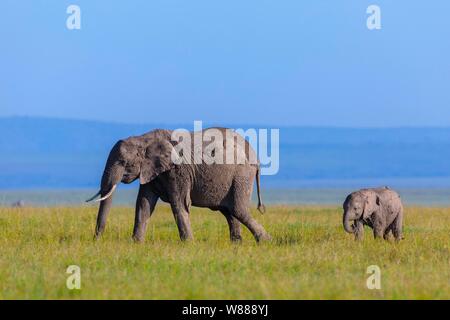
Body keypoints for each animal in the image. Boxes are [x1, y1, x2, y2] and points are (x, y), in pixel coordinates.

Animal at [85, 127, 268, 242]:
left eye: (123, 162)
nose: (96, 240)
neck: (144, 139)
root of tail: (255, 155)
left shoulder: (178, 170)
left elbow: (179, 203)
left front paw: (189, 244)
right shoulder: (151, 171)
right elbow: (144, 204)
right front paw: (136, 243)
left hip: (241, 175)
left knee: (238, 209)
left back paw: (265, 241)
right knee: (229, 211)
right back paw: (237, 243)